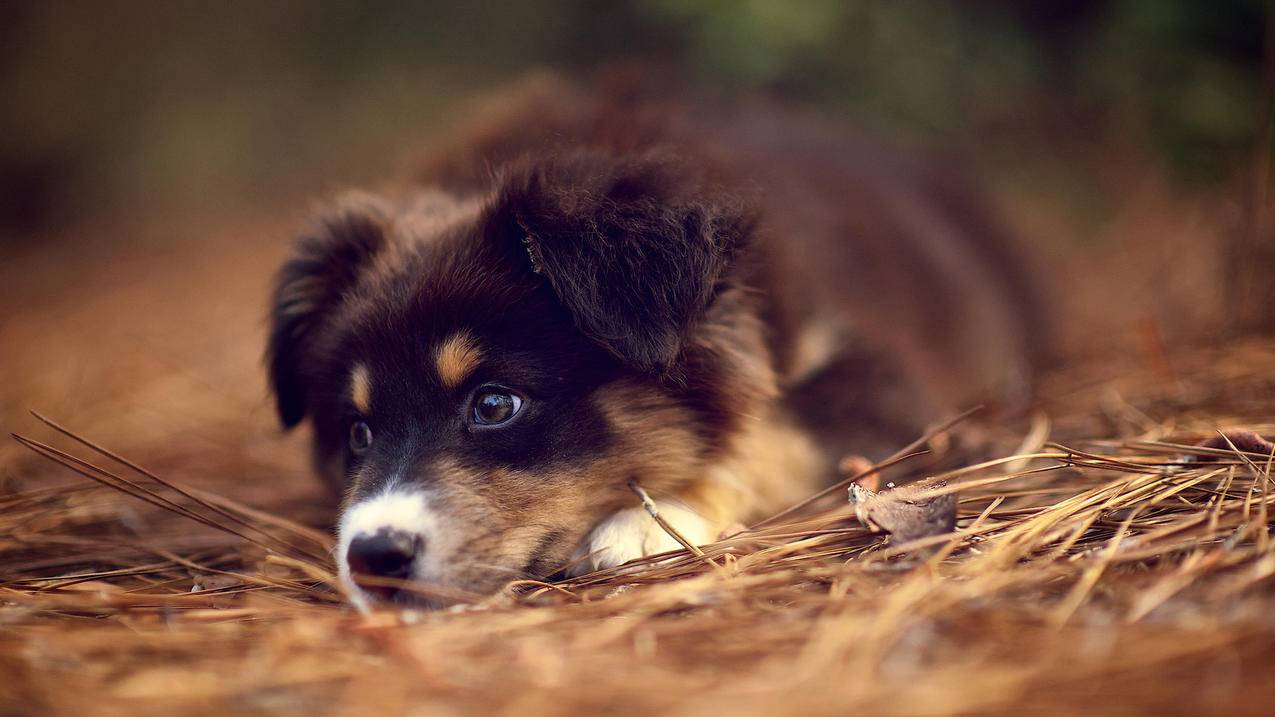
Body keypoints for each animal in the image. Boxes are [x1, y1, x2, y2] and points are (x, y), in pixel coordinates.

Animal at [261, 73, 1045, 607]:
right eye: (357, 431)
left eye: (493, 405)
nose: (372, 558)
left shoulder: (878, 374)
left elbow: (773, 438)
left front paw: (654, 518)